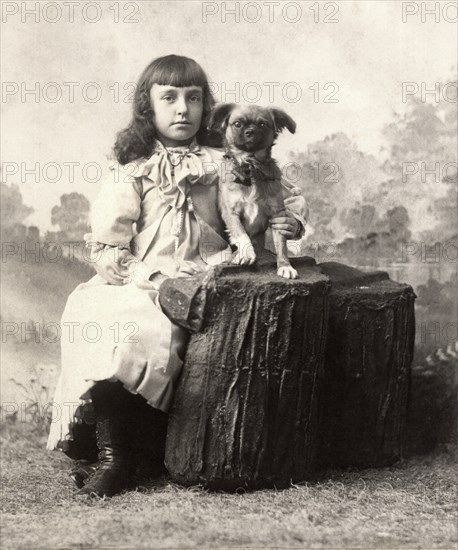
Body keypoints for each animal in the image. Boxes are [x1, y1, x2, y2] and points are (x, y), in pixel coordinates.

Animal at [208, 104, 300, 280]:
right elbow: (240, 232)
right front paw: (246, 253)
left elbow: (281, 245)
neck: (251, 167)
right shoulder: (230, 212)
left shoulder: (277, 215)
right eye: (237, 124)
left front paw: (285, 266)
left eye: (262, 124)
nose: (250, 131)